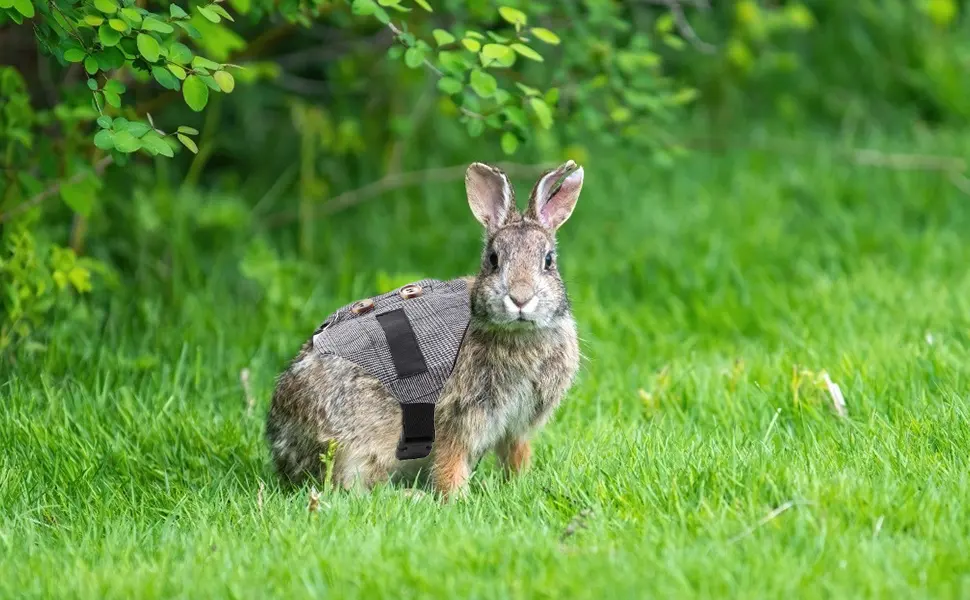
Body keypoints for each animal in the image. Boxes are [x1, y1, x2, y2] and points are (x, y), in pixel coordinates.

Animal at [266, 160, 584, 498]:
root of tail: (283, 451)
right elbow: (450, 462)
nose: (520, 298)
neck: (517, 336)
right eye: (493, 259)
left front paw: (518, 485)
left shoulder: (516, 426)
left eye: (548, 261)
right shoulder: (455, 418)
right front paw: (457, 499)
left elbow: (515, 455)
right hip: (351, 447)